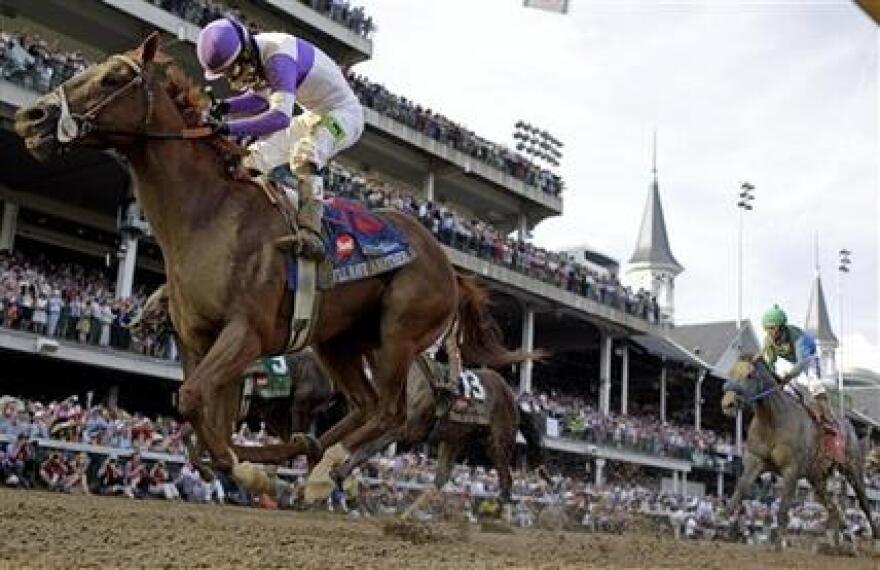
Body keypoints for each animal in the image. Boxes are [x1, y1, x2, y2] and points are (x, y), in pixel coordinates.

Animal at [15, 32, 524, 484]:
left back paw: (319, 473)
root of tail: (450, 267)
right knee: (364, 407)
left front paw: (238, 467)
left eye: (113, 78)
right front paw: (228, 460)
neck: (209, 214)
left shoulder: (248, 332)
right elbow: (199, 409)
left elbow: (194, 400)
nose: (30, 116)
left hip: (398, 333)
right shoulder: (198, 338)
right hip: (339, 341)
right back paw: (300, 452)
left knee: (389, 412)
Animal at [720, 358, 872, 544]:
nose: (728, 404)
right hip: (817, 478)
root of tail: (849, 426)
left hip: (852, 469)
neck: (773, 422)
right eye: (730, 372)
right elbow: (741, 488)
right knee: (833, 508)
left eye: (749, 375)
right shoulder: (755, 461)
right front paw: (725, 521)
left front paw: (778, 543)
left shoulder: (791, 470)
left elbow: (783, 509)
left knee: (864, 503)